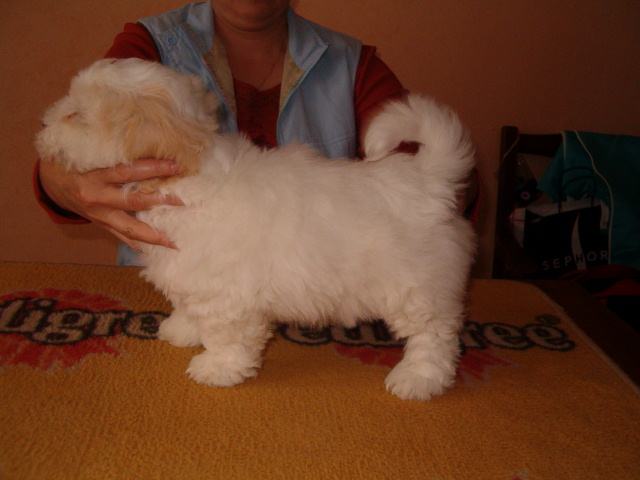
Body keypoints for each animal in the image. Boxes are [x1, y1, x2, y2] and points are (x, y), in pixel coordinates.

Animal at [36, 58, 476, 400]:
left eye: (76, 116)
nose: (44, 121)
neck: (183, 178)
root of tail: (429, 178)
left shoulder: (227, 296)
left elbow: (225, 335)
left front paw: (216, 368)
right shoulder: (194, 278)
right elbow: (191, 309)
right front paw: (182, 329)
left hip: (415, 289)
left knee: (434, 337)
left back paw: (418, 379)